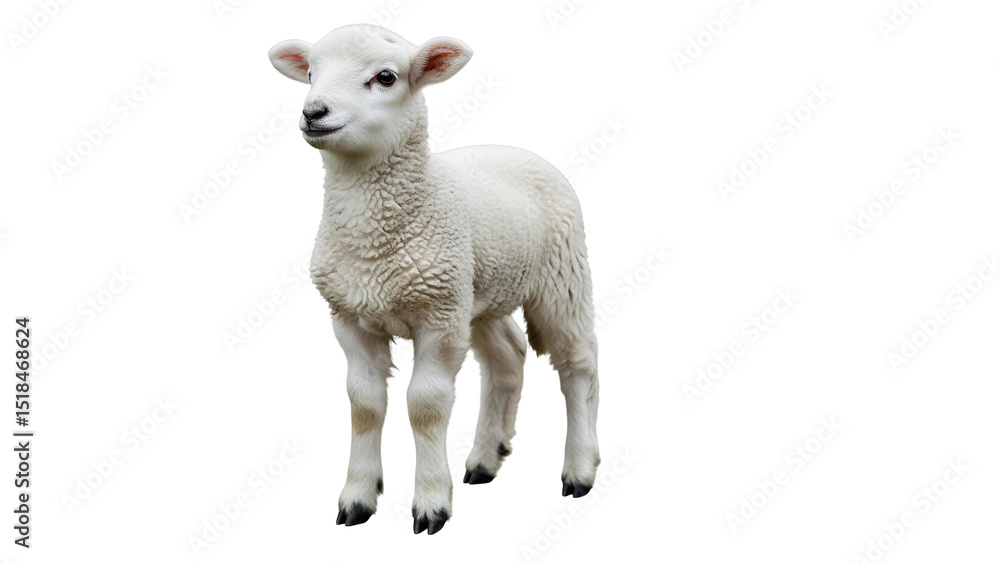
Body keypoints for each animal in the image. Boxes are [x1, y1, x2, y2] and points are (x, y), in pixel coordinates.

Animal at [268, 24, 600, 535]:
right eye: (309, 74)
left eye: (386, 76)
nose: (313, 112)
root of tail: (514, 148)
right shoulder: (350, 315)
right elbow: (364, 404)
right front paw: (358, 498)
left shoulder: (439, 319)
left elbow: (425, 406)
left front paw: (430, 504)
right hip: (478, 290)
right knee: (507, 358)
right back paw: (485, 458)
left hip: (560, 275)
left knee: (578, 365)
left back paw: (580, 469)